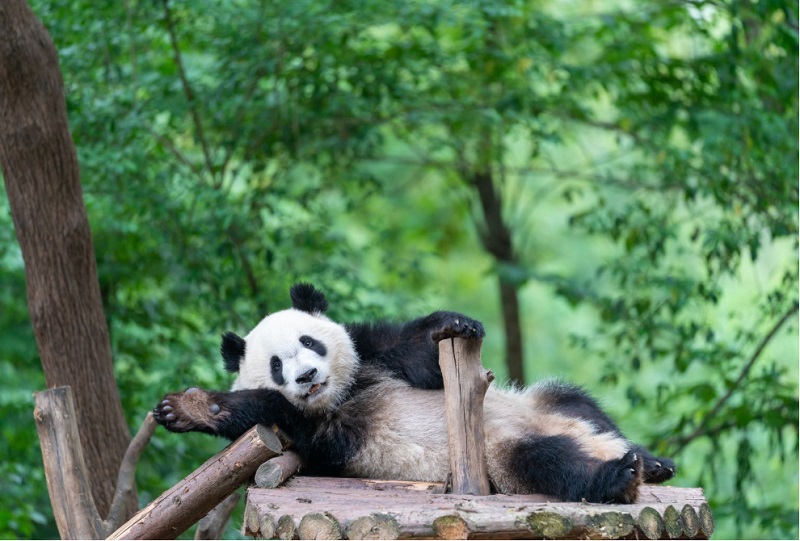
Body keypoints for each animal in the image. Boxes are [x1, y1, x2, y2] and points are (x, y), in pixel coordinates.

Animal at [154, 283, 674, 503]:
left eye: (310, 342)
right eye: (277, 366)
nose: (307, 377)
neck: (343, 393)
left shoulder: (372, 352)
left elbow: (421, 357)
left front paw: (454, 324)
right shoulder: (324, 434)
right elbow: (273, 411)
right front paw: (187, 408)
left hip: (543, 404)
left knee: (580, 404)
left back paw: (650, 462)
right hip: (499, 456)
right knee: (547, 462)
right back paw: (619, 476)